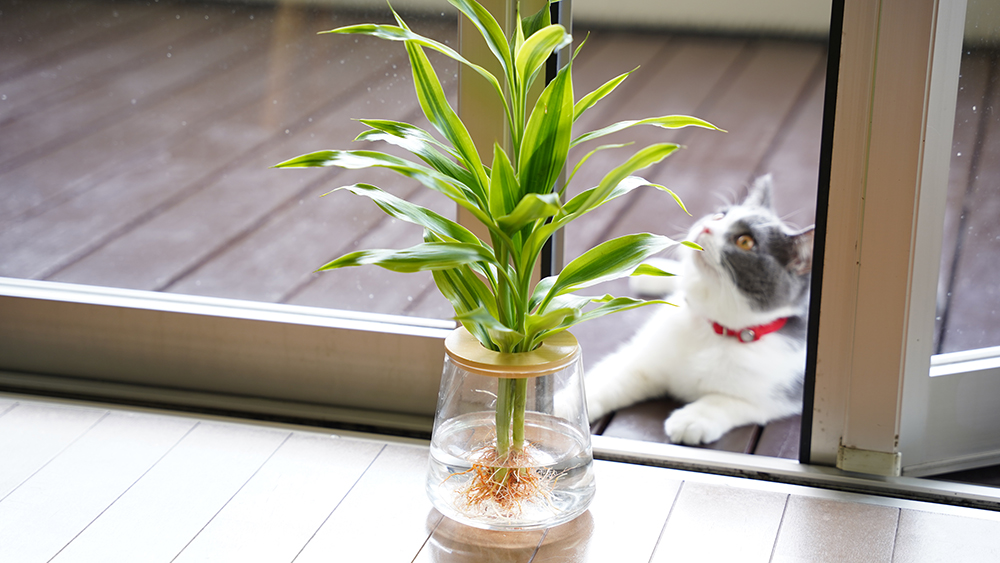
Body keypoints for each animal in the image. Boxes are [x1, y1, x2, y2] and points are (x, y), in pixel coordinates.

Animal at [584, 175, 812, 446]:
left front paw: (691, 420)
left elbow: (730, 401)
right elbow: (610, 378)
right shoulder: (644, 357)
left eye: (745, 242)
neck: (712, 329)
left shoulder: (779, 393)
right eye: (719, 216)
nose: (706, 227)